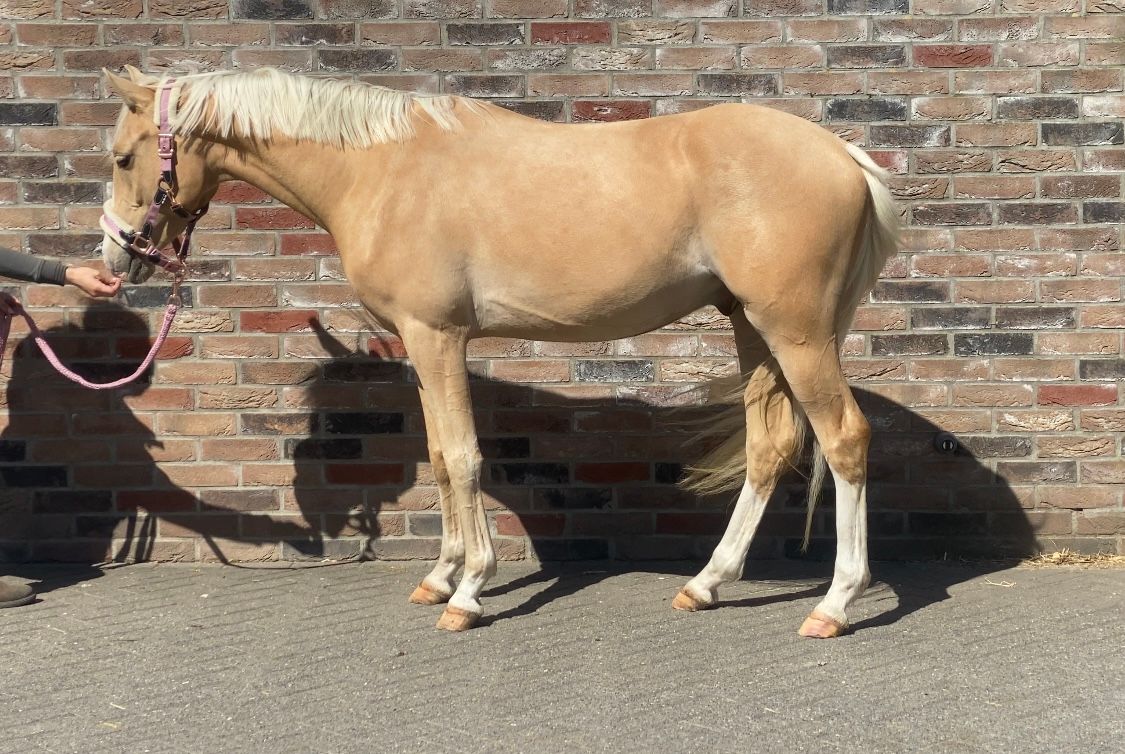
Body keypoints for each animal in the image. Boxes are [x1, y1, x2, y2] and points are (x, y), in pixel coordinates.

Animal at [100, 66, 899, 637]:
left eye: (123, 157)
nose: (117, 256)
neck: (380, 172)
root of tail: (842, 155)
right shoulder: (421, 345)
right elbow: (440, 458)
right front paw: (440, 577)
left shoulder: (438, 336)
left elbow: (461, 457)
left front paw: (470, 591)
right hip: (753, 329)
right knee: (770, 446)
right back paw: (704, 584)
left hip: (794, 332)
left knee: (845, 440)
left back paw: (833, 605)